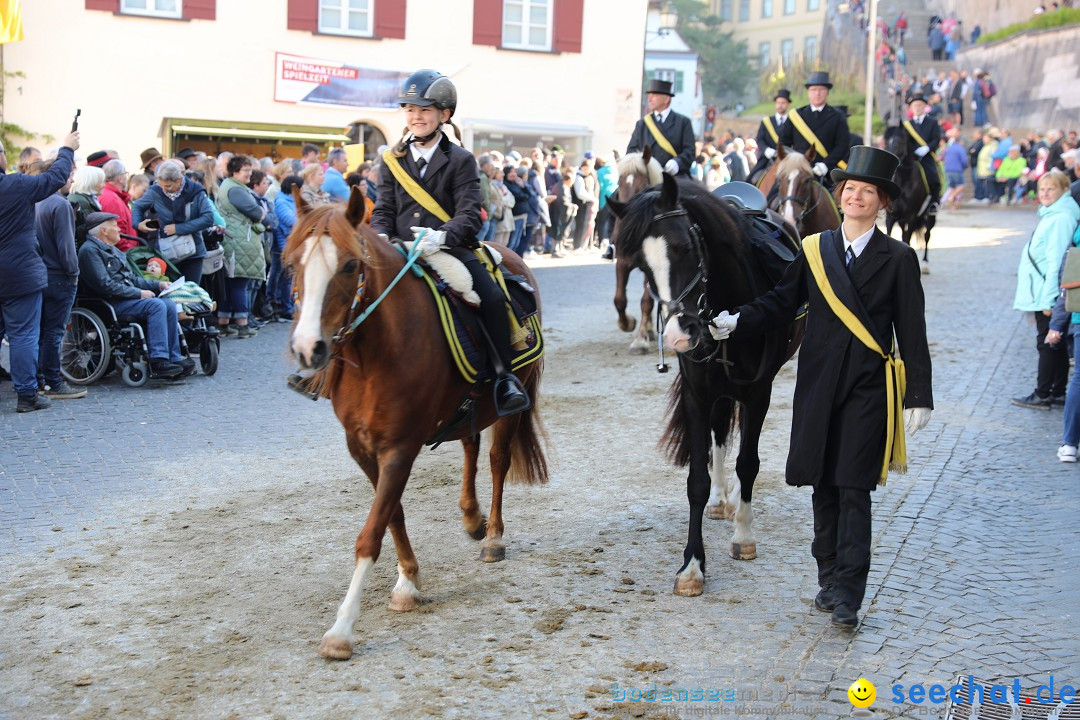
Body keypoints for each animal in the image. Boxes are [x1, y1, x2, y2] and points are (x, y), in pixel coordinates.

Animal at [285, 188, 548, 660]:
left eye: (349, 265)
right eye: (295, 262)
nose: (307, 348)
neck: (377, 353)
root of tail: (508, 252)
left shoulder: (400, 447)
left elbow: (371, 532)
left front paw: (342, 629)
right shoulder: (362, 447)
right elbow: (393, 514)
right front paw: (408, 580)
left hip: (514, 404)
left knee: (497, 460)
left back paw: (493, 536)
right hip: (470, 407)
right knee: (470, 447)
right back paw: (471, 517)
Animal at [609, 174, 803, 595]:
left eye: (684, 247)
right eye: (642, 266)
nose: (680, 334)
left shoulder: (758, 393)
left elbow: (749, 463)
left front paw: (743, 536)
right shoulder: (698, 394)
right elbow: (697, 478)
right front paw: (692, 565)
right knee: (719, 439)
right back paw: (720, 498)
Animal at [885, 126, 937, 273]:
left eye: (901, 141)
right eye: (886, 141)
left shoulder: (912, 216)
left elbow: (908, 240)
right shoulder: (891, 216)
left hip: (930, 217)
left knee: (927, 236)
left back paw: (925, 264)